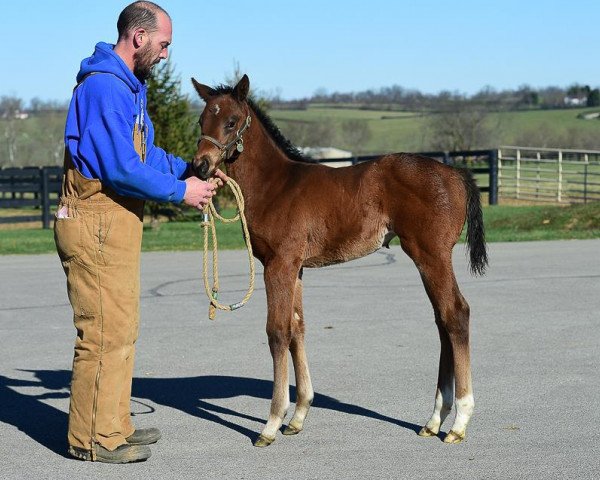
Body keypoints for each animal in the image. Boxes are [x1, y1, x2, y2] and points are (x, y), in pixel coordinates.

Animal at [191, 75, 488, 446]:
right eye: (201, 121)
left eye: (231, 122)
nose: (200, 166)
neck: (276, 185)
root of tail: (455, 173)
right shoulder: (296, 268)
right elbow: (297, 328)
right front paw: (297, 416)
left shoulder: (279, 264)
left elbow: (277, 332)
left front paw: (271, 423)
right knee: (442, 320)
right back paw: (434, 420)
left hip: (430, 254)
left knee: (456, 314)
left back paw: (459, 421)